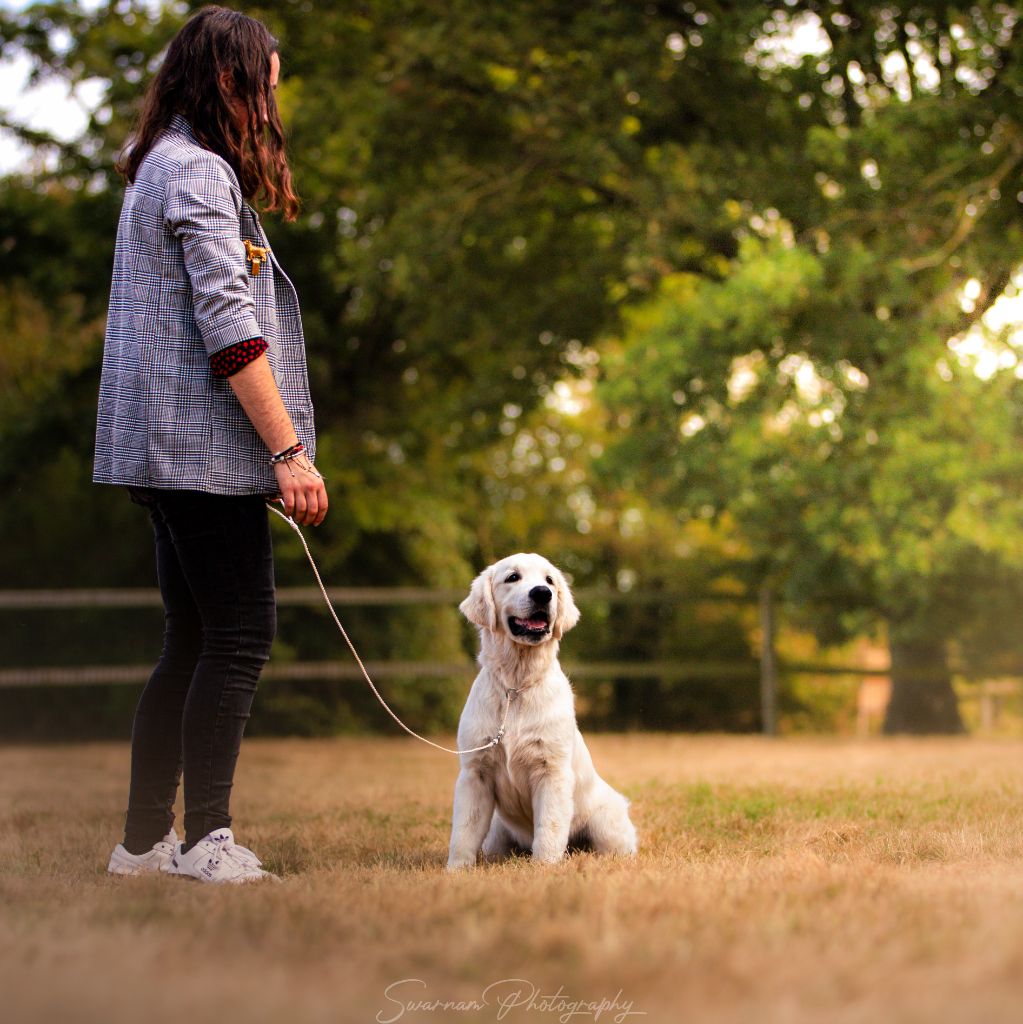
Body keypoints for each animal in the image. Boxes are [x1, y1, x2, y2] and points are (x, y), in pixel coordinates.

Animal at [448, 557, 638, 868]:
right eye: (512, 577)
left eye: (549, 580)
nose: (542, 593)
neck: (516, 687)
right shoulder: (475, 773)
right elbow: (464, 831)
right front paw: (456, 870)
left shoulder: (552, 771)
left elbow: (549, 827)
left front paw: (544, 867)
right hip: (497, 833)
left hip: (606, 822)